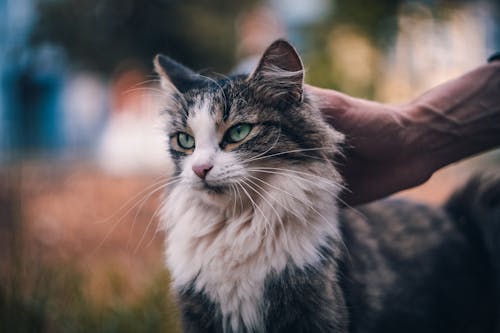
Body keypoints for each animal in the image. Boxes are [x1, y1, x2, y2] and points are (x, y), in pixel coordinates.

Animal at [155, 39, 500, 332]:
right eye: (184, 141)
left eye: (238, 132)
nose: (200, 169)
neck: (238, 223)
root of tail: (449, 211)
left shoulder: (314, 310)